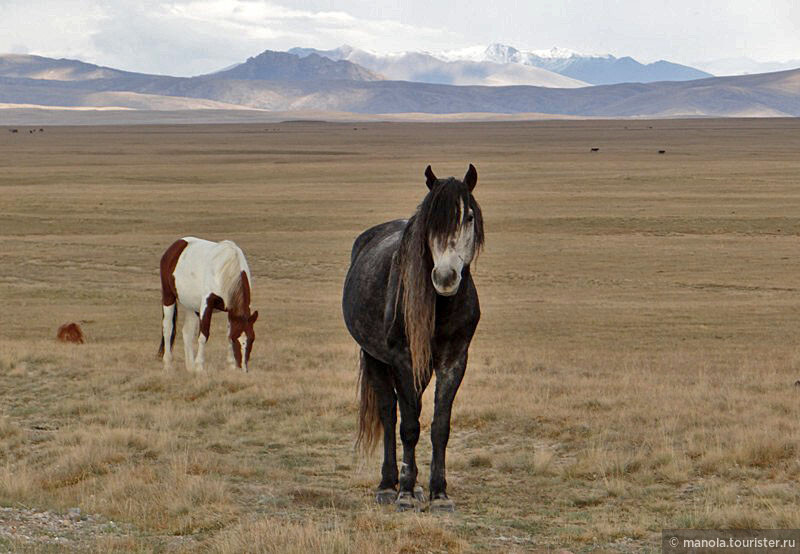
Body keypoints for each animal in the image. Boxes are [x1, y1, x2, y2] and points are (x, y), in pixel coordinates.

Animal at [156, 237, 256, 370]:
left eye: (252, 339)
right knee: (167, 328)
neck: (227, 270)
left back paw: (190, 367)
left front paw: (231, 366)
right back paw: (168, 364)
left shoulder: (231, 310)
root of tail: (176, 245)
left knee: (187, 332)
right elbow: (203, 335)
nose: (243, 368)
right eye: (236, 339)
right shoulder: (207, 304)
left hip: (191, 306)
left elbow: (227, 334)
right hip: (168, 296)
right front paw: (199, 366)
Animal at [342, 163, 484, 508]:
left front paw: (439, 492)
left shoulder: (454, 360)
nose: (445, 277)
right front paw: (404, 492)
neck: (441, 307)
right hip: (375, 358)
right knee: (389, 414)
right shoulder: (403, 360)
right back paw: (388, 484)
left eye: (468, 217)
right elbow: (407, 425)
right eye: (429, 221)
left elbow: (439, 426)